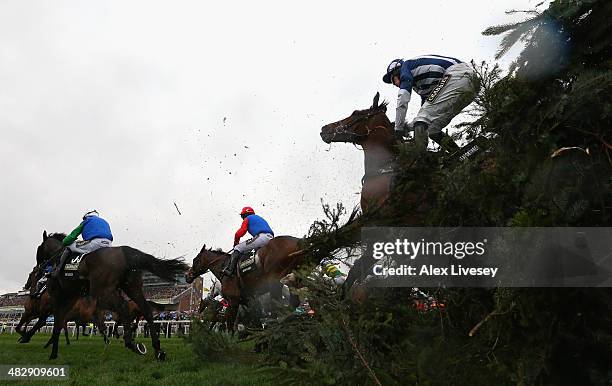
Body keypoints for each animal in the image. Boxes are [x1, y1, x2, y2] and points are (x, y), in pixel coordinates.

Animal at [35, 231, 188, 360]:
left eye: (39, 248)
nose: (39, 267)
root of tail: (125, 252)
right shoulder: (69, 299)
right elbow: (60, 323)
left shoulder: (59, 297)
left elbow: (57, 323)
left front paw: (52, 353)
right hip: (132, 288)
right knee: (145, 309)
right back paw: (157, 350)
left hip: (103, 292)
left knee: (124, 307)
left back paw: (132, 344)